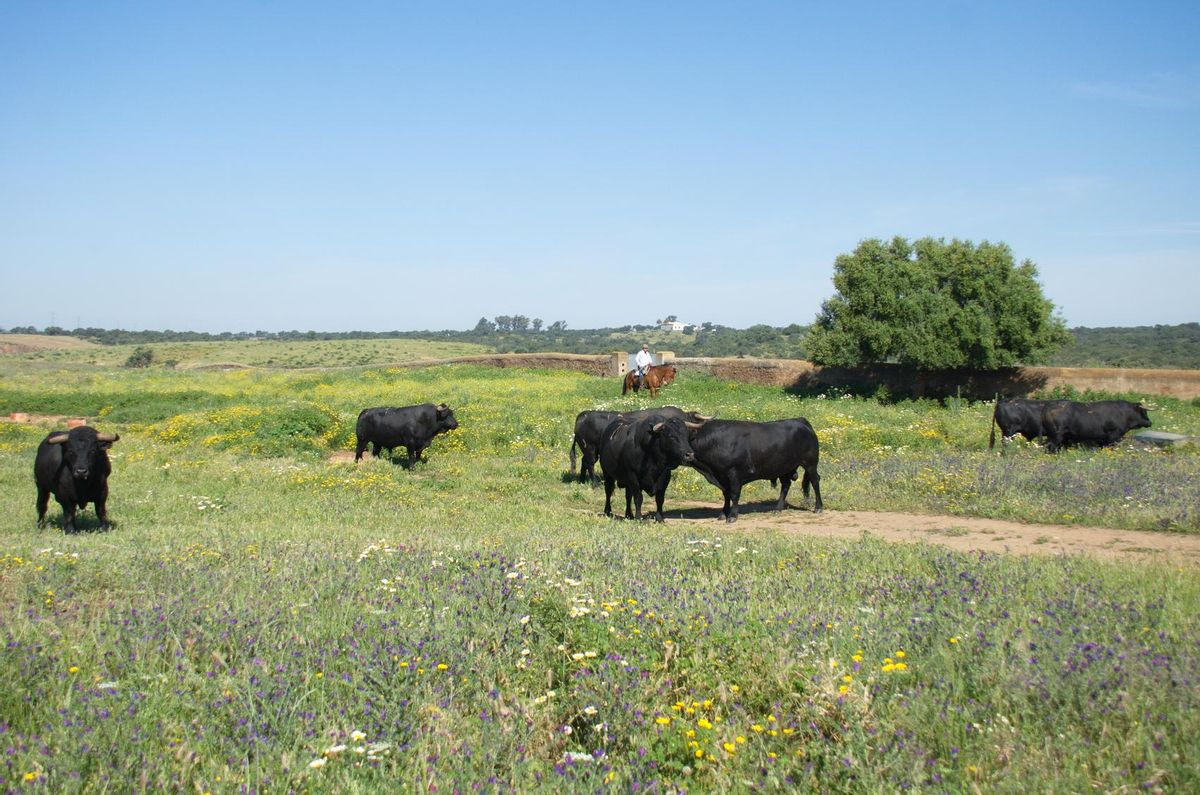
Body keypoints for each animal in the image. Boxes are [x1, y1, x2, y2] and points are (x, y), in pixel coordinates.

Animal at [691, 417, 820, 523]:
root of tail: (801, 421)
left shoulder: (734, 474)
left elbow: (734, 494)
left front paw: (732, 516)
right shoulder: (721, 476)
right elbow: (726, 494)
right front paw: (723, 514)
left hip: (810, 464)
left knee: (815, 481)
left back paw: (818, 508)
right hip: (784, 467)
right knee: (786, 485)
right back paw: (778, 509)